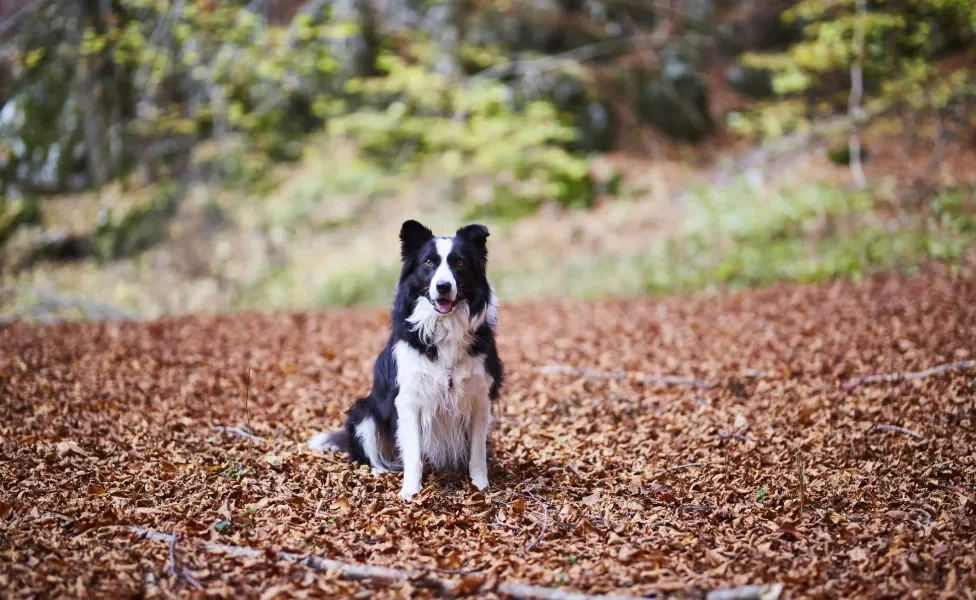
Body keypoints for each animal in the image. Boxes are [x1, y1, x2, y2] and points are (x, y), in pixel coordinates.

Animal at [304, 218, 504, 500]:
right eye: (428, 262)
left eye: (459, 263)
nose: (443, 286)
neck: (444, 325)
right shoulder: (409, 400)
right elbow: (414, 454)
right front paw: (411, 491)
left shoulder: (479, 398)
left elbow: (477, 455)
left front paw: (481, 486)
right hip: (362, 412)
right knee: (373, 456)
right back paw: (380, 471)